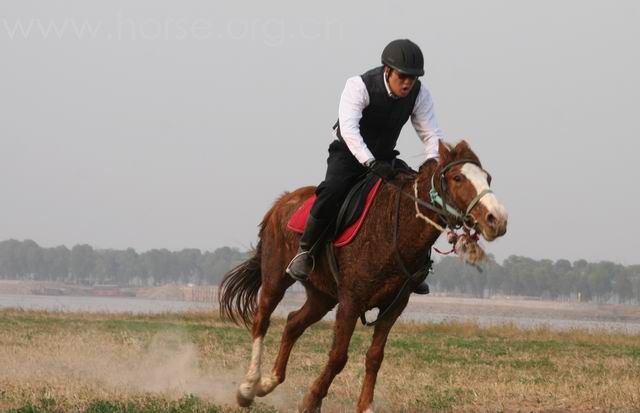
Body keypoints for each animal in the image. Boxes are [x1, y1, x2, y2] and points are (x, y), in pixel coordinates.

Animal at [218, 140, 508, 410]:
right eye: (458, 178)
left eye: (488, 178)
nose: (497, 219)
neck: (393, 224)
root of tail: (282, 201)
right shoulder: (350, 301)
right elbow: (338, 356)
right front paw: (311, 400)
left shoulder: (394, 306)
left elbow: (375, 356)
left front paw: (365, 406)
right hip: (276, 278)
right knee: (262, 320)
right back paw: (248, 387)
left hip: (322, 296)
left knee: (292, 323)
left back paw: (268, 382)